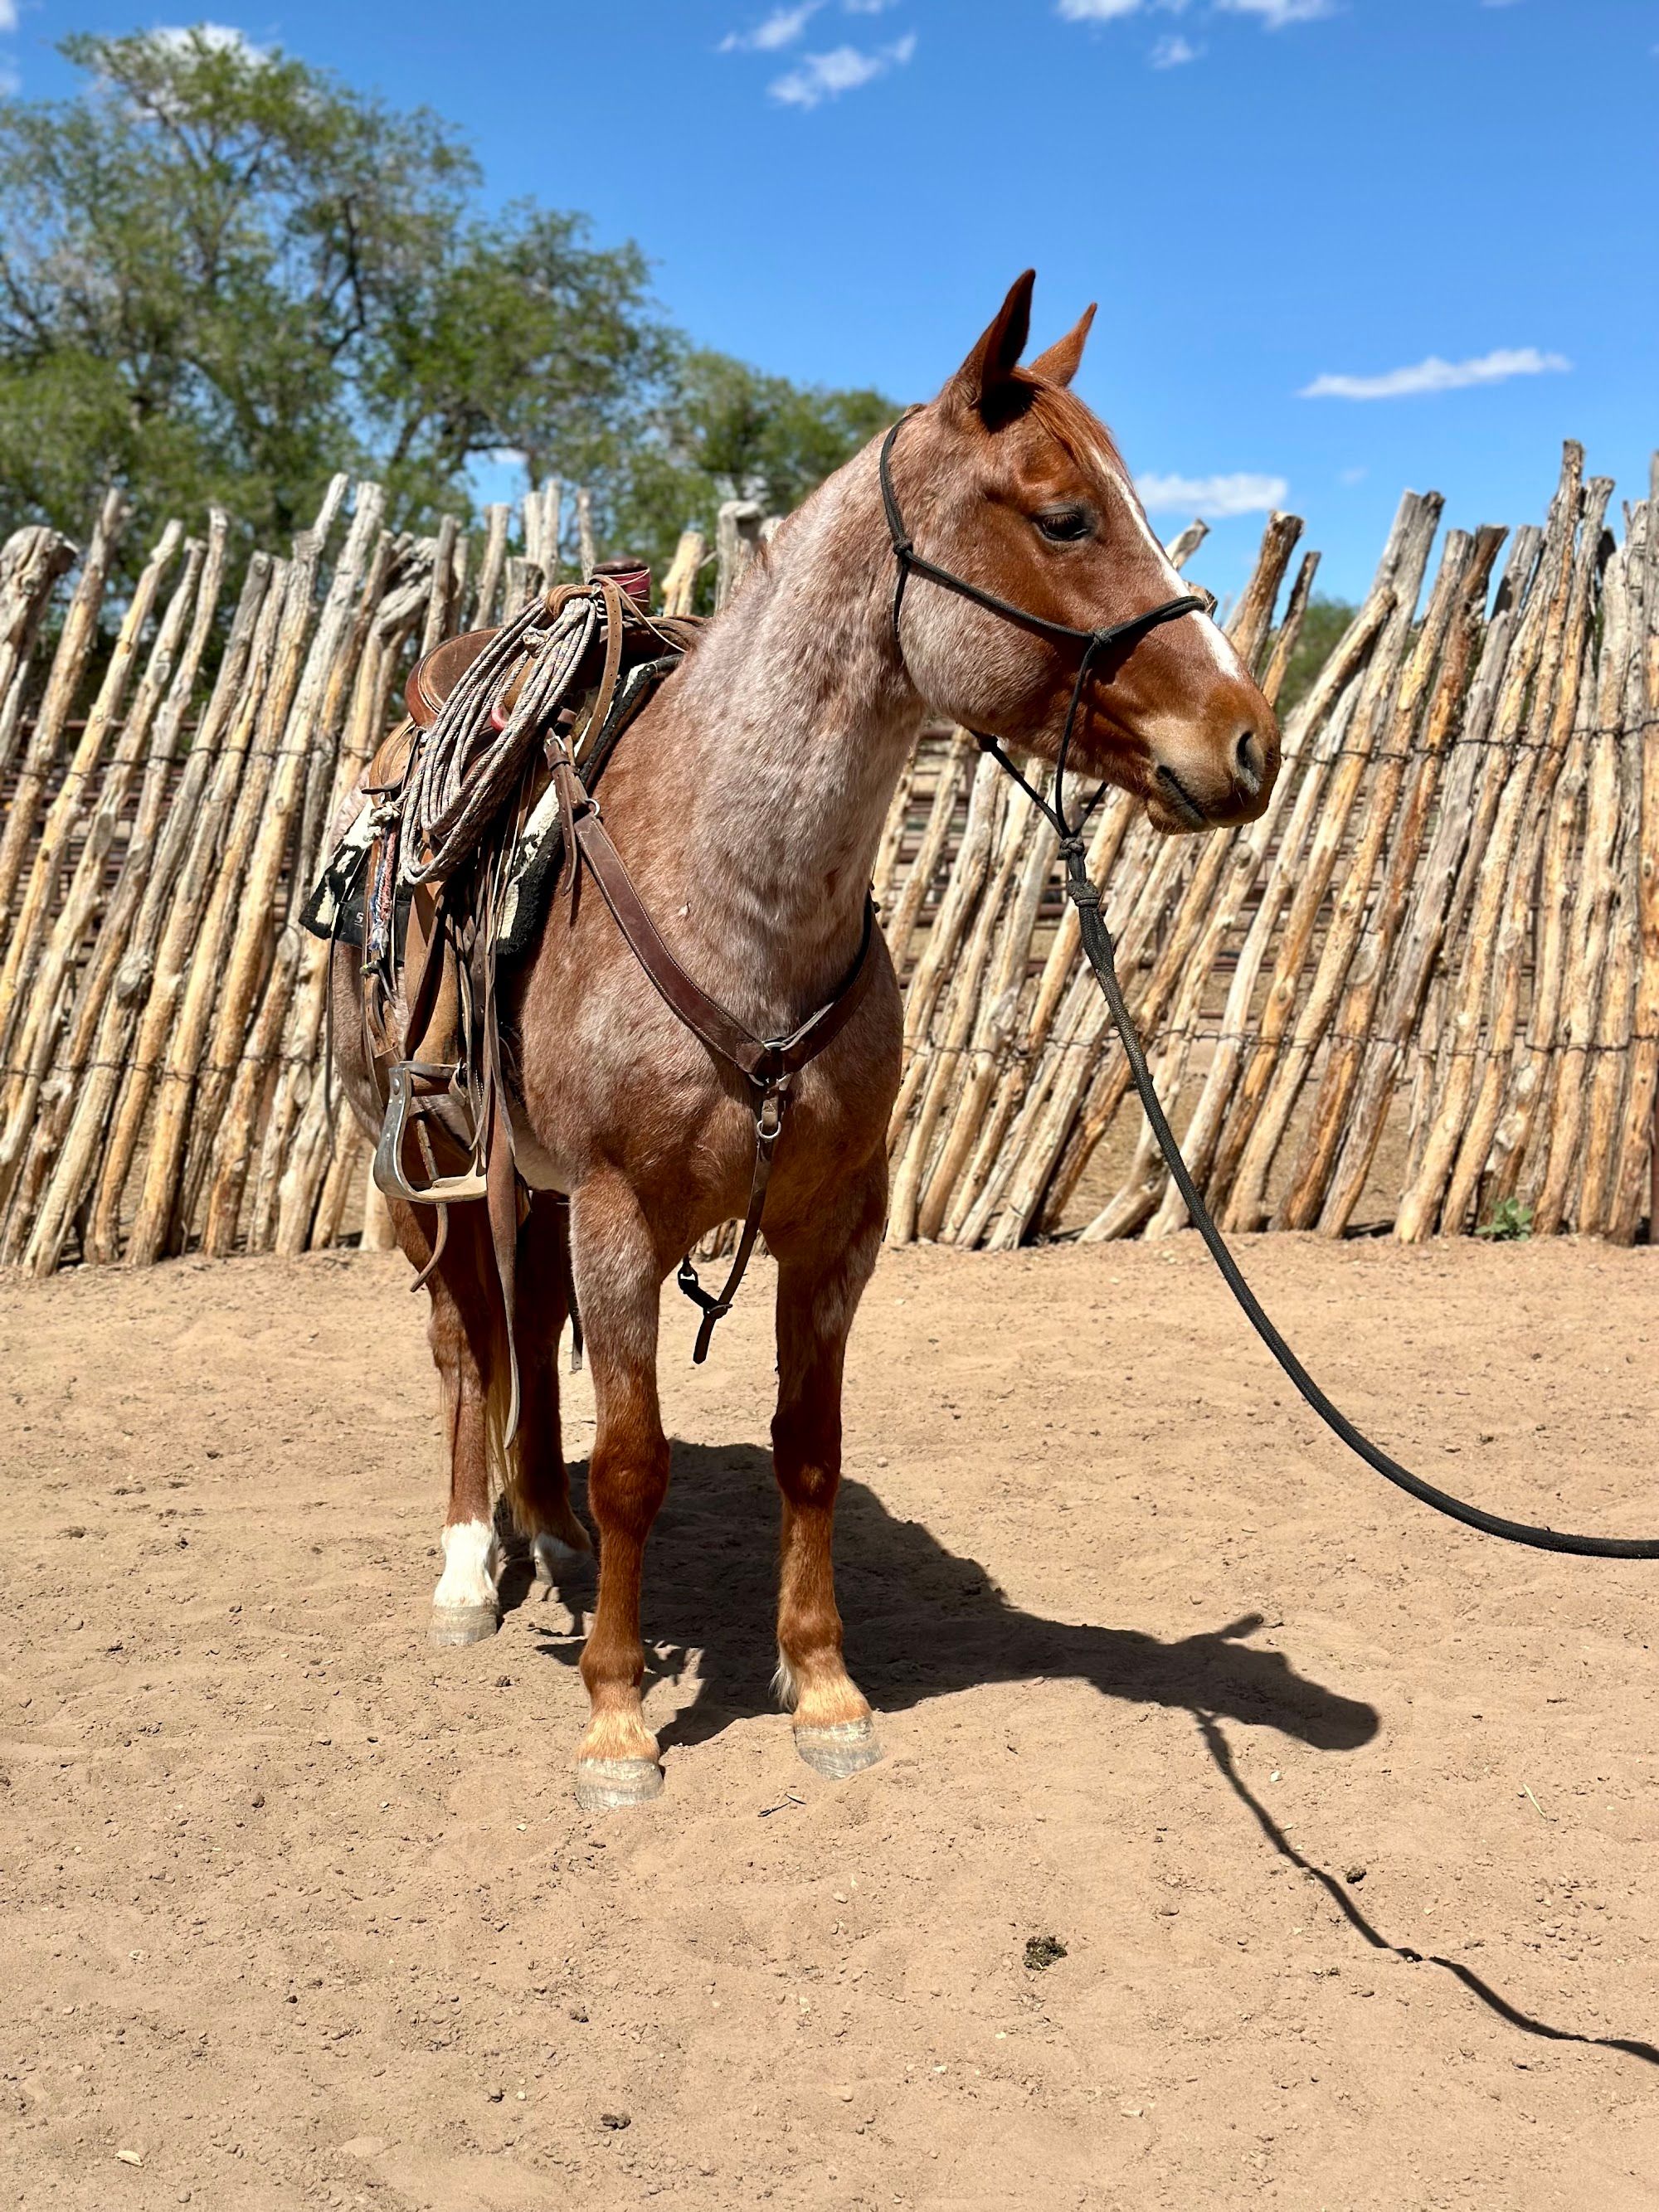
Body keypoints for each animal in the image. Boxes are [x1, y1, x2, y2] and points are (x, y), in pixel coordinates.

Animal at [331, 270, 1280, 1811]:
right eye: (1064, 515)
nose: (1248, 740)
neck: (736, 891)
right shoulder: (618, 1215)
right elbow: (639, 1459)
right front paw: (616, 1718)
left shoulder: (837, 1221)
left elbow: (809, 1446)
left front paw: (824, 1686)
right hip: (428, 1147)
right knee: (466, 1337)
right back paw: (474, 1561)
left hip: (528, 1176)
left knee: (524, 1328)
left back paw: (547, 1529)